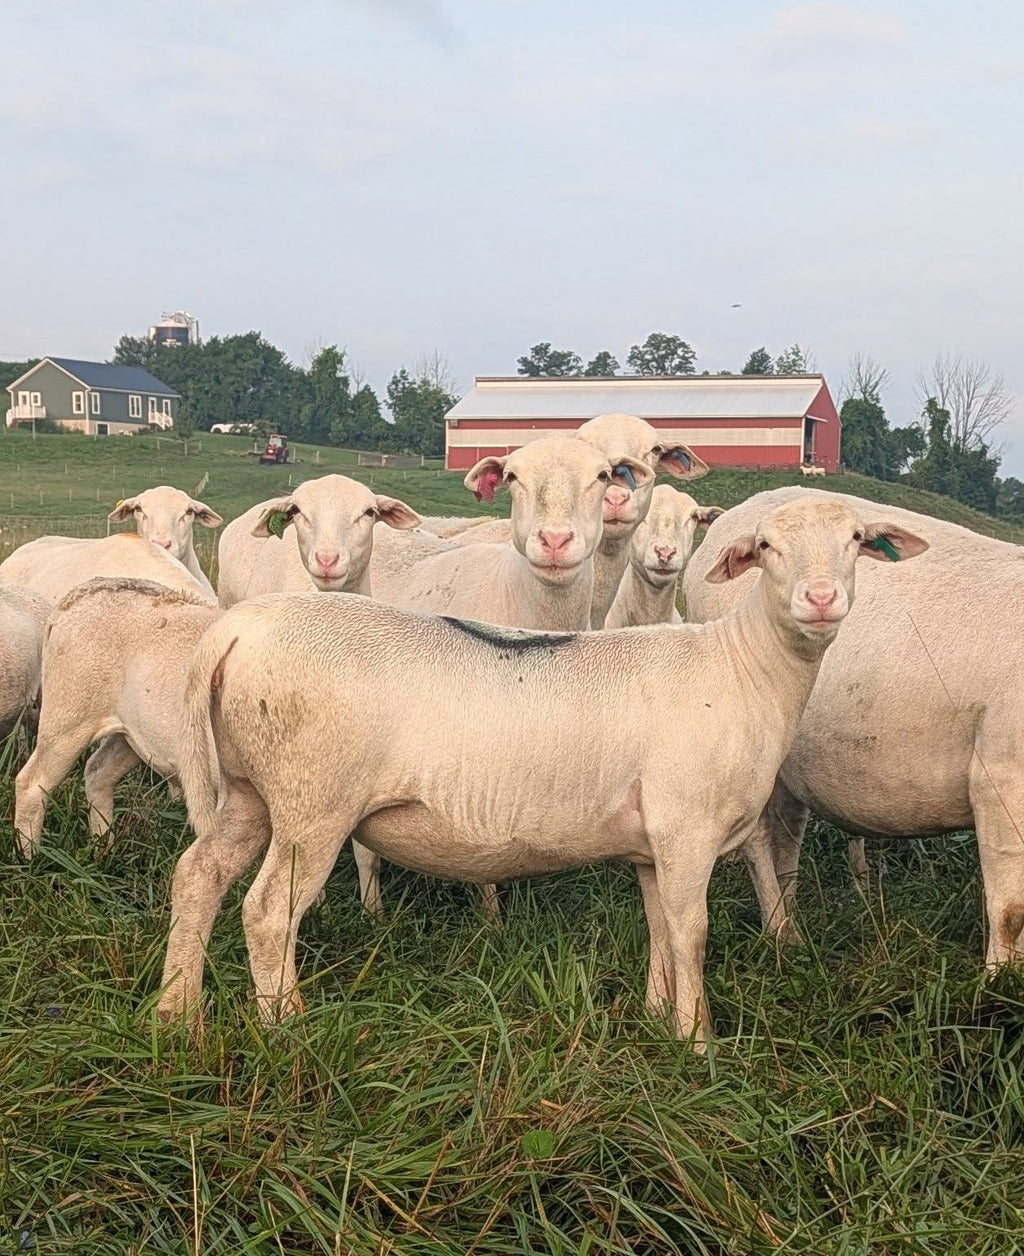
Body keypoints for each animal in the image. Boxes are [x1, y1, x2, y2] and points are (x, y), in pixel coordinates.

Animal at [14, 579, 220, 856]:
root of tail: (81, 594)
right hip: (69, 716)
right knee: (32, 783)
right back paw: (29, 855)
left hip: (132, 734)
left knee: (98, 772)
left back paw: (102, 848)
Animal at [683, 485, 1024, 965]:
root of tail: (733, 516)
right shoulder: (1002, 779)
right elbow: (1010, 911)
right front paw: (998, 979)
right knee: (759, 843)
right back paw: (780, 932)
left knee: (785, 837)